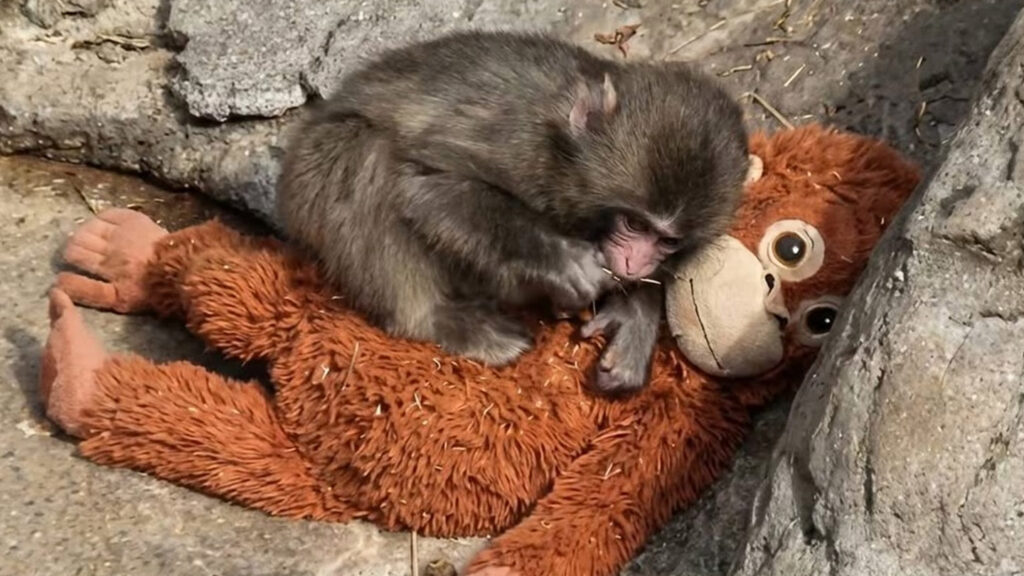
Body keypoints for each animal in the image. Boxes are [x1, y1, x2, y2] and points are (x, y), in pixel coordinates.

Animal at [276, 30, 749, 394]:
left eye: (667, 240)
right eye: (634, 222)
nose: (636, 262)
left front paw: (634, 318)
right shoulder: (516, 141)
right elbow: (427, 186)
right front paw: (565, 260)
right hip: (309, 179)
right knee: (364, 151)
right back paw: (434, 320)